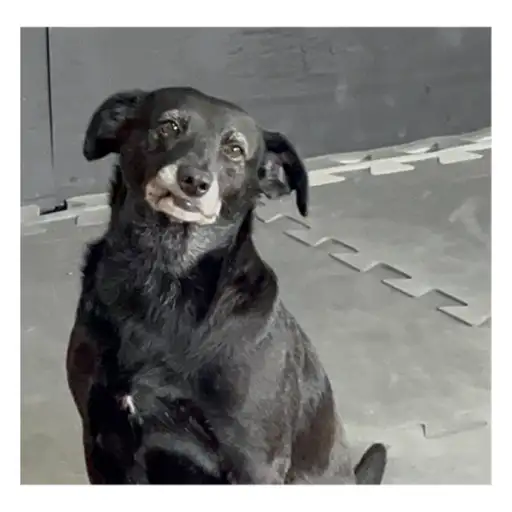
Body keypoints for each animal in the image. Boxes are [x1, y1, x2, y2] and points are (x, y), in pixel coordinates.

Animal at [66, 86, 387, 484]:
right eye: (168, 126)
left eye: (234, 149)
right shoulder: (99, 438)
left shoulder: (254, 462)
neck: (163, 281)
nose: (194, 180)